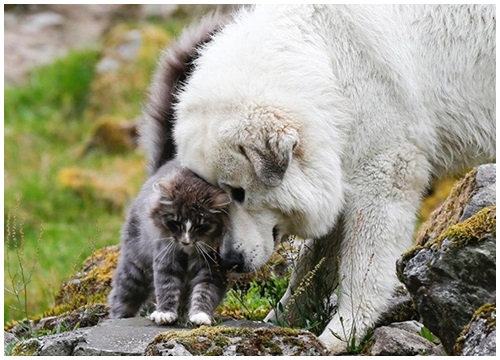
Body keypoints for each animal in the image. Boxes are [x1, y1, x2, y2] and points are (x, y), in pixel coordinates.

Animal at [108, 159, 231, 324]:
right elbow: (167, 287)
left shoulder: (212, 266)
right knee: (122, 297)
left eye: (200, 226)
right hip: (135, 270)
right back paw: (119, 318)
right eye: (176, 223)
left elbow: (205, 291)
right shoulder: (166, 257)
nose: (185, 241)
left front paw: (200, 315)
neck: (188, 251)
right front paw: (164, 313)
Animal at [143, 4, 494, 352]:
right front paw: (283, 319)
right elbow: (313, 263)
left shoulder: (383, 170)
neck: (327, 62)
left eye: (239, 192)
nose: (230, 260)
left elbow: (362, 264)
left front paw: (342, 332)